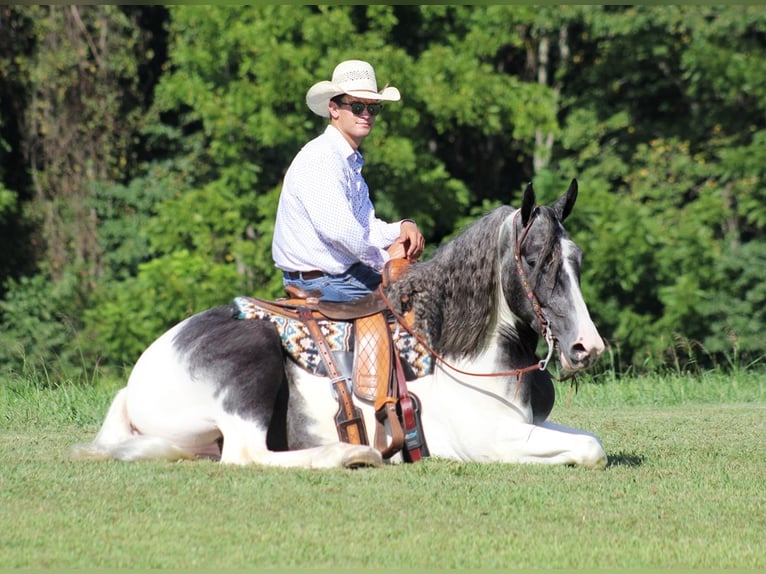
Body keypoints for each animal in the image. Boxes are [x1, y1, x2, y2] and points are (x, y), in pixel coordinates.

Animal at [73, 181, 612, 472]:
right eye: (535, 259)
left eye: (578, 258)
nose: (587, 347)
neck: (453, 349)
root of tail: (137, 382)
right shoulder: (490, 441)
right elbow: (589, 448)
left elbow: (591, 442)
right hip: (251, 365)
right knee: (248, 453)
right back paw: (350, 455)